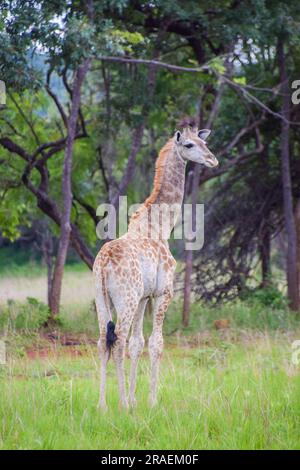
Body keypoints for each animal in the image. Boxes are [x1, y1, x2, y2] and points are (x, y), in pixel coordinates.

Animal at [92, 120, 219, 408]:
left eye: (205, 142)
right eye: (189, 144)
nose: (212, 159)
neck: (159, 227)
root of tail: (103, 265)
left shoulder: (144, 297)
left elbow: (138, 343)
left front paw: (135, 399)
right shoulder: (163, 293)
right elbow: (156, 343)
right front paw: (150, 402)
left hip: (103, 299)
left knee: (103, 341)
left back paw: (103, 405)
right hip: (125, 299)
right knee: (117, 340)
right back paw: (121, 405)